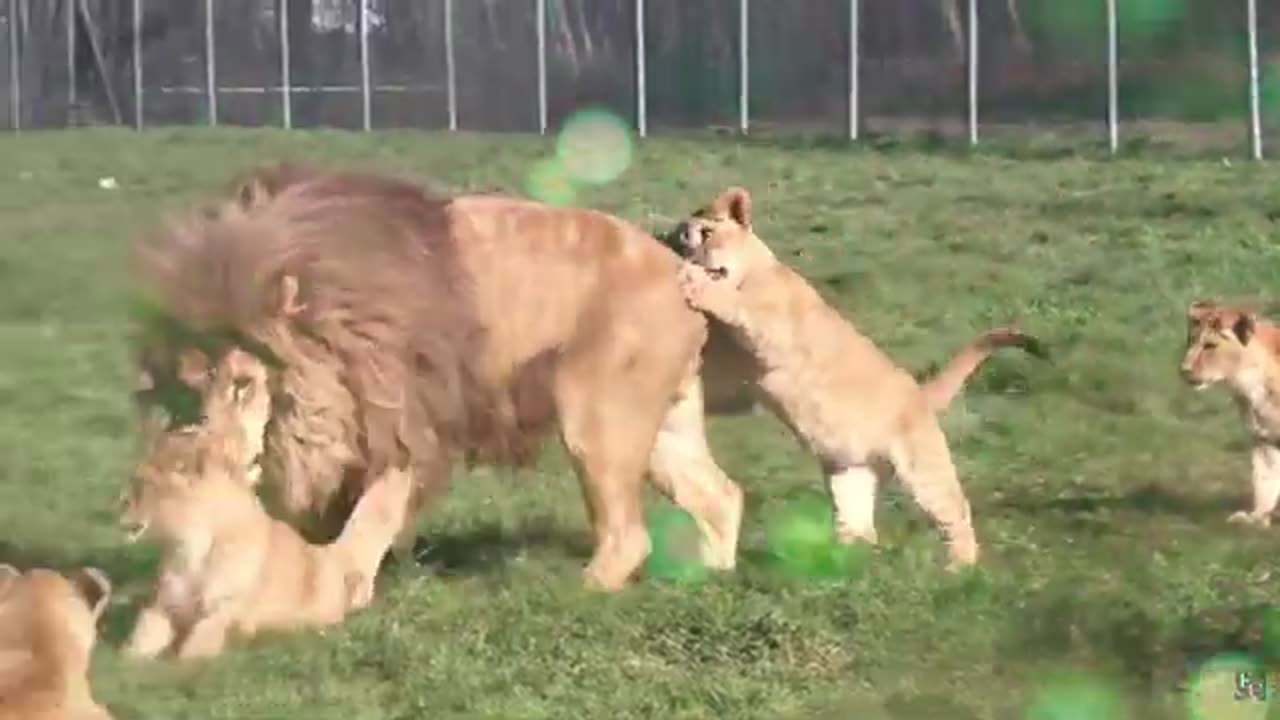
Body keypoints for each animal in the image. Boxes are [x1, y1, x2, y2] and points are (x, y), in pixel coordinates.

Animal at [131, 165, 747, 591]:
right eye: (193, 387)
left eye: (243, 384)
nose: (216, 457)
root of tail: (681, 272)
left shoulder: (408, 417)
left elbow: (373, 514)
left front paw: (342, 582)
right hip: (658, 422)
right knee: (721, 494)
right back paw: (709, 574)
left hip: (594, 413)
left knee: (629, 534)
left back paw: (582, 588)